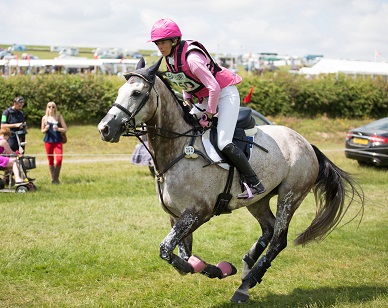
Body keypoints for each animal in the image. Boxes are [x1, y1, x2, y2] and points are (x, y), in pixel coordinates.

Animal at [98, 58, 366, 304]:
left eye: (136, 93)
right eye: (119, 92)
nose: (105, 129)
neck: (178, 148)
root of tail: (305, 142)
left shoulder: (198, 212)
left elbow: (167, 250)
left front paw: (213, 269)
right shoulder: (176, 217)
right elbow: (183, 255)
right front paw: (216, 269)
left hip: (291, 195)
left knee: (279, 239)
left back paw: (248, 282)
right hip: (257, 200)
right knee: (268, 228)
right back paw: (247, 267)